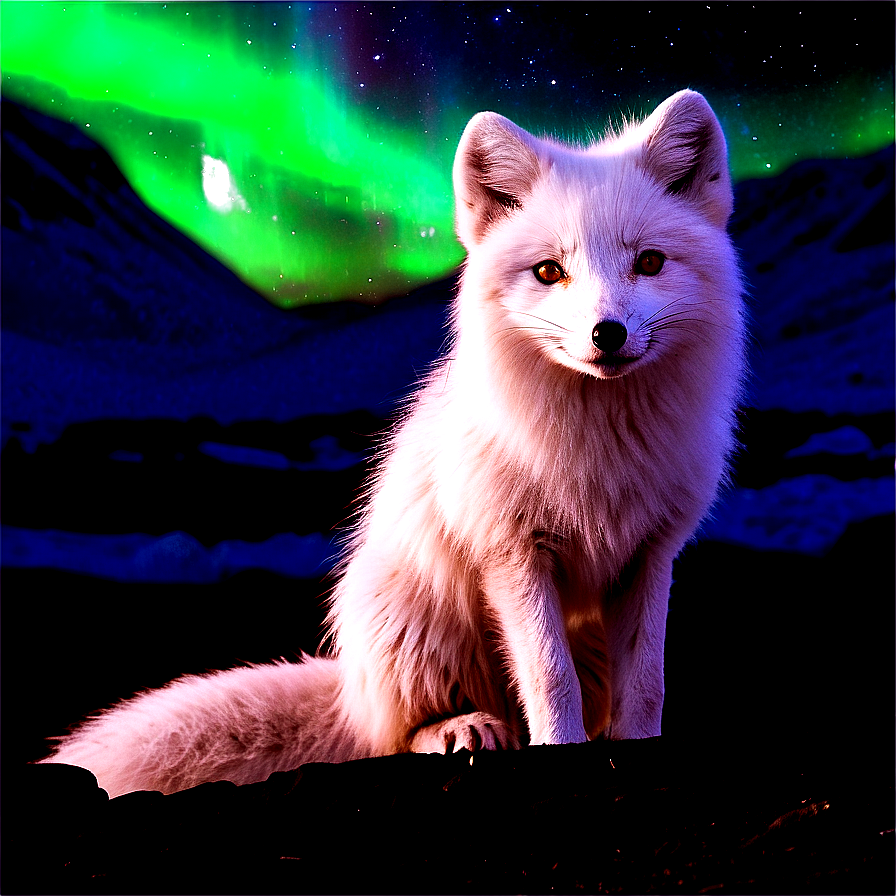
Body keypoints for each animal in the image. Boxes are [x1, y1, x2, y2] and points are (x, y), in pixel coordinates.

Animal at [42, 90, 745, 797]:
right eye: (551, 271)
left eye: (649, 262)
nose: (607, 333)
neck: (602, 445)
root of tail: (349, 689)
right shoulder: (514, 554)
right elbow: (550, 679)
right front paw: (559, 750)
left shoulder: (650, 555)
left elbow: (648, 684)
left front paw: (641, 749)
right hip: (418, 620)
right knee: (402, 731)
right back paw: (463, 728)